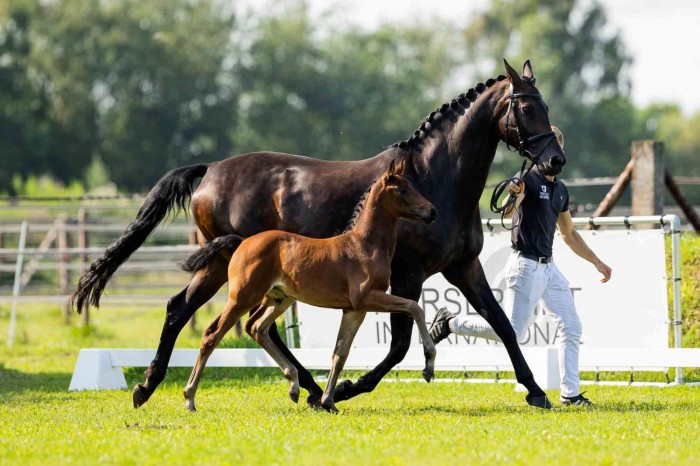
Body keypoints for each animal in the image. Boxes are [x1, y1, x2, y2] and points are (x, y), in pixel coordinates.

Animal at [181, 159, 438, 413]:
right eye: (402, 190)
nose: (432, 211)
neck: (364, 245)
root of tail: (242, 242)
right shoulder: (367, 298)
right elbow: (415, 307)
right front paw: (428, 366)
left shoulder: (354, 310)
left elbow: (340, 353)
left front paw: (329, 402)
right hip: (242, 298)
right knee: (213, 334)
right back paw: (190, 397)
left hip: (279, 299)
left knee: (257, 328)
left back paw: (294, 385)